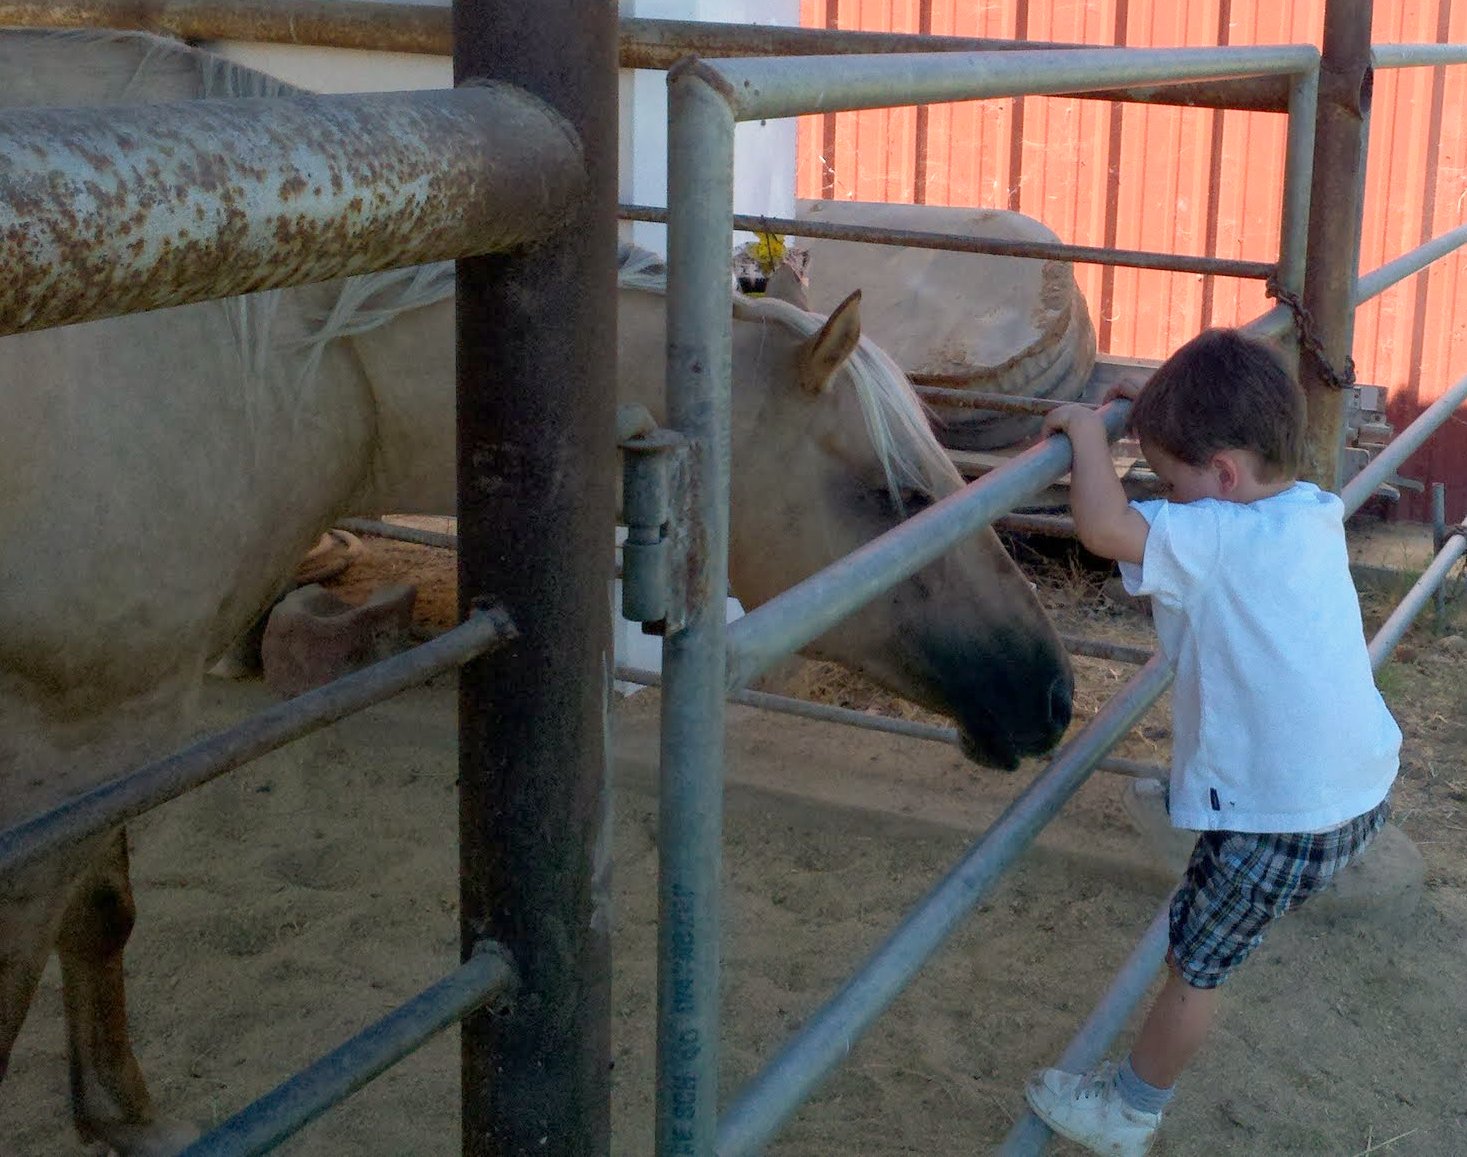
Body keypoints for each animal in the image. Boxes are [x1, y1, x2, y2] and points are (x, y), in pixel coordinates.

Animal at [0, 29, 1071, 1154]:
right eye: (894, 493)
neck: (265, 347)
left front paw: (119, 1109)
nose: (1051, 691)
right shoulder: (74, 727)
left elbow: (100, 908)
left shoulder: (117, 719)